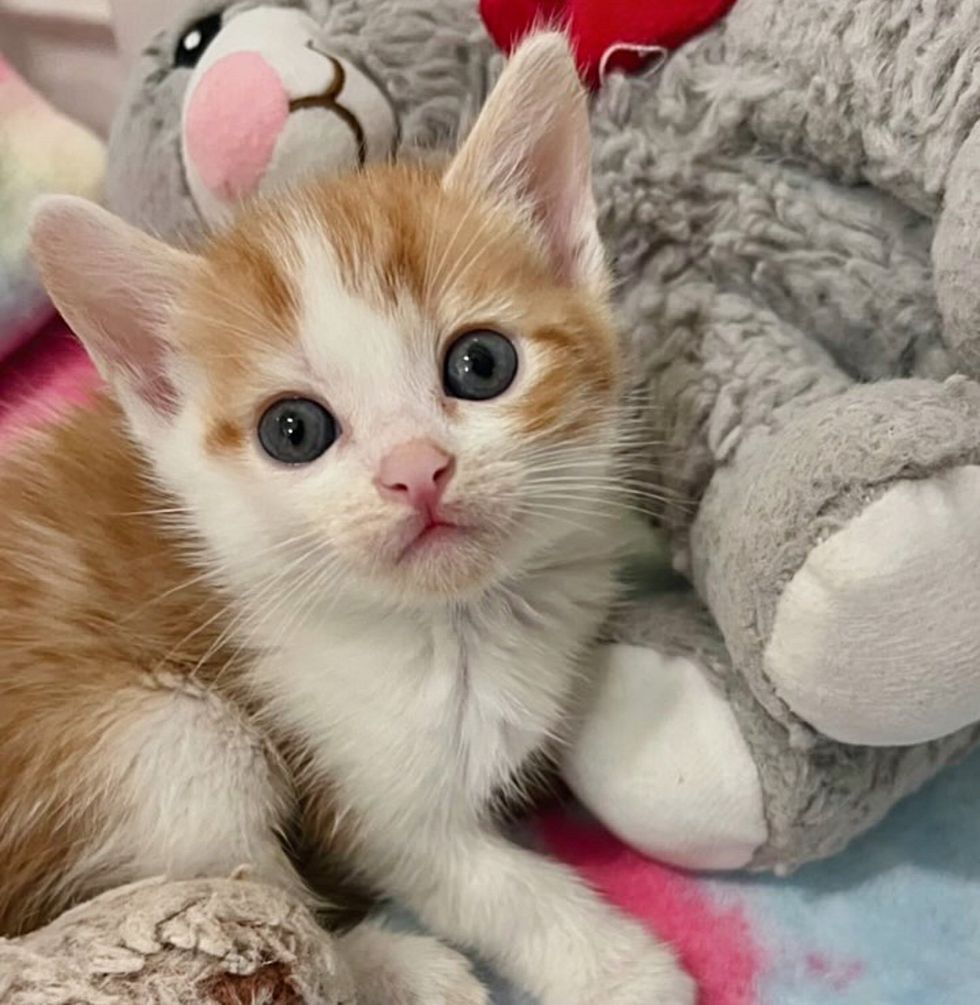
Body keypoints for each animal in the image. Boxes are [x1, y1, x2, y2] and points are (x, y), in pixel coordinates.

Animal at [1, 33, 691, 1005]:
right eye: (293, 431)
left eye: (481, 363)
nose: (416, 470)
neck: (460, 622)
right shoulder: (360, 783)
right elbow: (480, 879)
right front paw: (620, 966)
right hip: (164, 738)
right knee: (247, 895)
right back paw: (393, 966)